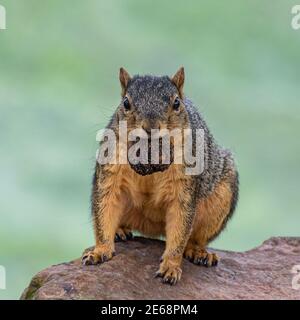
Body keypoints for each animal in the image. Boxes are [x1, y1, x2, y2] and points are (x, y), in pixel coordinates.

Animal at [81, 67, 239, 284]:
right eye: (126, 103)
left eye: (176, 103)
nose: (151, 127)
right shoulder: (110, 172)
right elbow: (104, 208)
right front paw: (100, 251)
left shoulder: (185, 185)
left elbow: (180, 227)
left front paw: (170, 267)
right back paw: (120, 231)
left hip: (221, 199)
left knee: (196, 237)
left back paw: (199, 252)